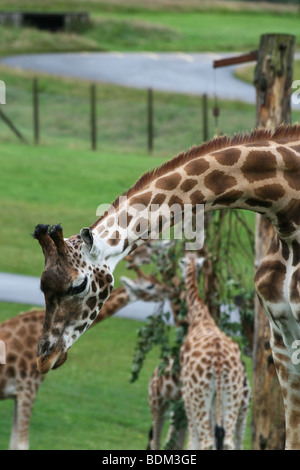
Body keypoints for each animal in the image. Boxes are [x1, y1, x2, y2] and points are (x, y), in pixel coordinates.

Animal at [178, 255, 248, 450]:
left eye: (181, 262)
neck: (200, 318)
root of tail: (218, 363)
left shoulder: (186, 394)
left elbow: (193, 439)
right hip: (232, 395)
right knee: (228, 441)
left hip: (199, 396)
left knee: (206, 441)